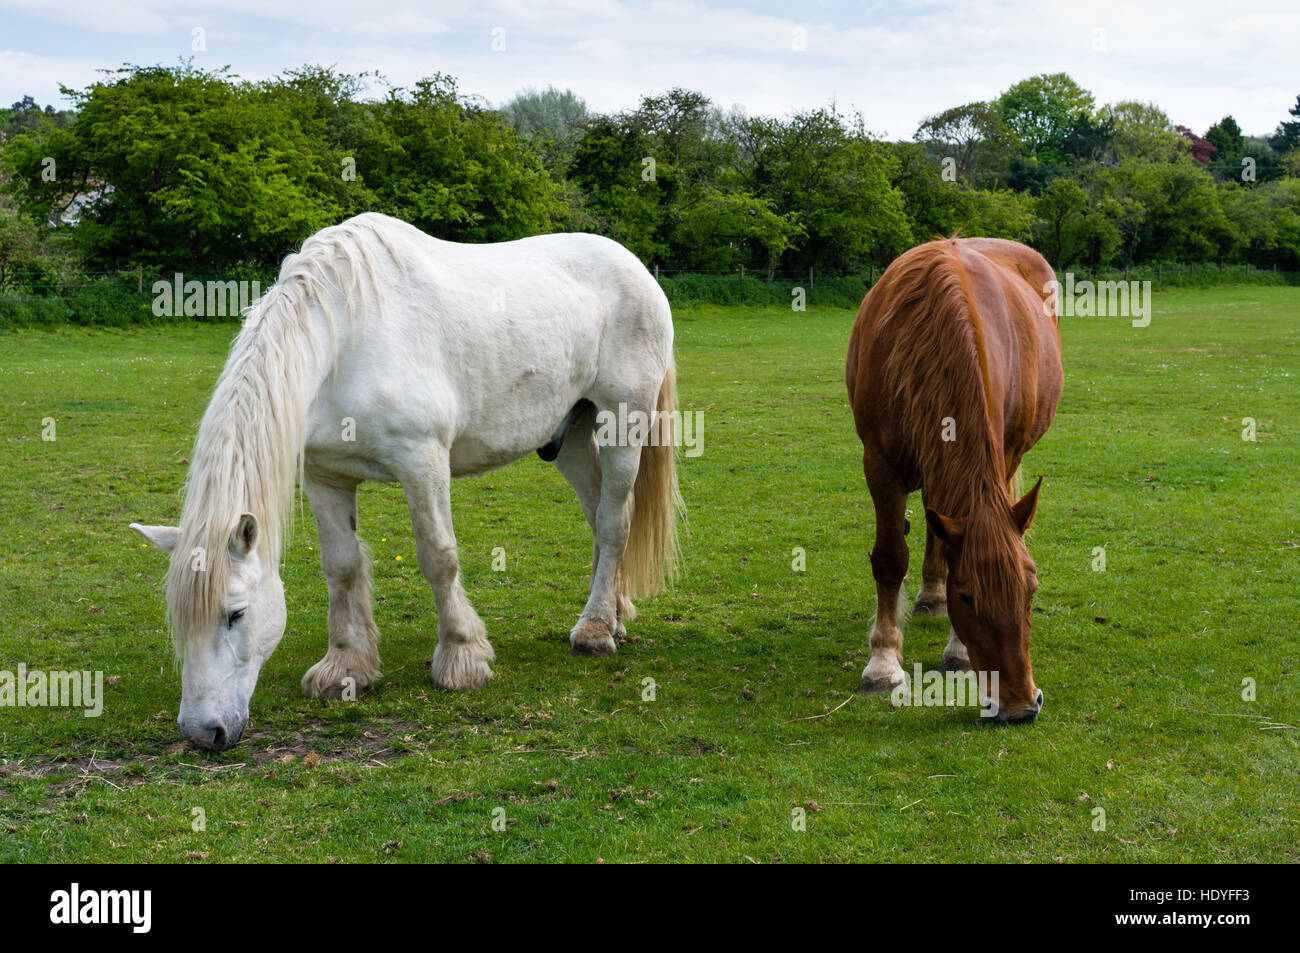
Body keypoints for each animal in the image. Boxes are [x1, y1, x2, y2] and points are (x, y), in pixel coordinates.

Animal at [130, 211, 681, 748]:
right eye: (178, 620)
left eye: (236, 614)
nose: (203, 733)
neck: (343, 341)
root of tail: (635, 267)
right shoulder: (325, 477)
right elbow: (341, 567)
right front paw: (345, 666)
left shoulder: (423, 462)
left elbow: (439, 557)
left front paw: (461, 658)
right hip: (571, 435)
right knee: (599, 515)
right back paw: (613, 613)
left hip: (623, 423)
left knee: (613, 522)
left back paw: (594, 632)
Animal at [847, 237, 1060, 722]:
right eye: (966, 597)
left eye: (1031, 592)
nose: (1021, 705)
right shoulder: (880, 463)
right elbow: (891, 558)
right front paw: (883, 662)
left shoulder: (1002, 452)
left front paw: (958, 652)